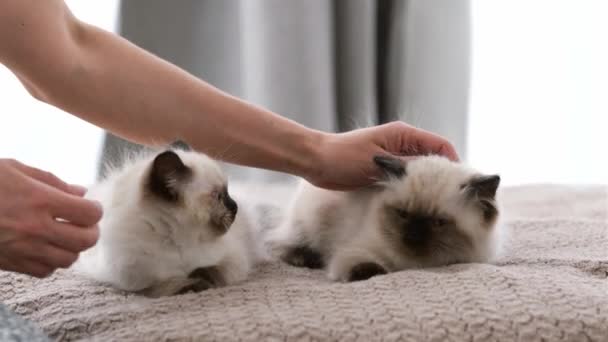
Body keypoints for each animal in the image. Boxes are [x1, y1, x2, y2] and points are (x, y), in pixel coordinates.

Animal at [70, 150, 264, 296]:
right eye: (218, 196)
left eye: (227, 192)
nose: (235, 207)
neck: (178, 242)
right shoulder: (132, 281)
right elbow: (165, 285)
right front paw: (193, 284)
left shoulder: (234, 259)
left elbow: (210, 269)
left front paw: (200, 278)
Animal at [268, 156, 504, 284]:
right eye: (403, 214)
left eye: (439, 223)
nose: (413, 236)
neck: (413, 264)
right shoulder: (355, 251)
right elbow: (364, 266)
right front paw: (373, 273)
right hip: (308, 224)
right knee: (283, 246)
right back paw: (305, 259)